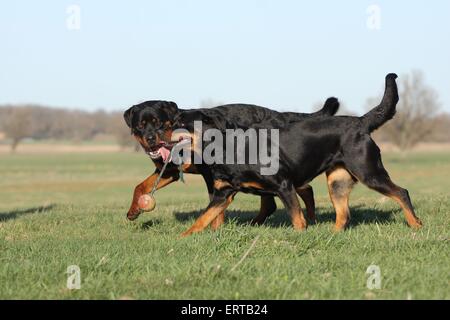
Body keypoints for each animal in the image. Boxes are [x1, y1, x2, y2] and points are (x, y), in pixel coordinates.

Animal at [121, 99, 340, 226]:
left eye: (158, 123)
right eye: (140, 126)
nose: (151, 138)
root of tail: (281, 114)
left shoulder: (210, 173)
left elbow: (214, 202)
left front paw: (215, 228)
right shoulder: (169, 170)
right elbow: (140, 186)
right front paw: (133, 211)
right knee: (296, 191)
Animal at [168, 74, 422, 236]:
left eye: (178, 122)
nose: (161, 132)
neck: (226, 148)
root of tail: (361, 122)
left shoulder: (284, 185)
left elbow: (297, 218)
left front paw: (300, 237)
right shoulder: (224, 193)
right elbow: (203, 218)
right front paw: (183, 238)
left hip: (368, 171)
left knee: (402, 192)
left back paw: (416, 225)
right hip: (338, 181)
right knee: (344, 214)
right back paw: (331, 235)